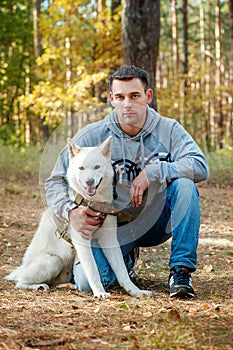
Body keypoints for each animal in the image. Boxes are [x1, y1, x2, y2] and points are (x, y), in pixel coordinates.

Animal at [5, 137, 152, 298]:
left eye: (97, 167)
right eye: (81, 168)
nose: (89, 181)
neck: (93, 203)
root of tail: (23, 266)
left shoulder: (109, 239)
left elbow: (122, 271)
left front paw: (135, 291)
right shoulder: (82, 241)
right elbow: (93, 270)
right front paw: (100, 292)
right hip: (52, 261)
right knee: (20, 281)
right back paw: (39, 286)